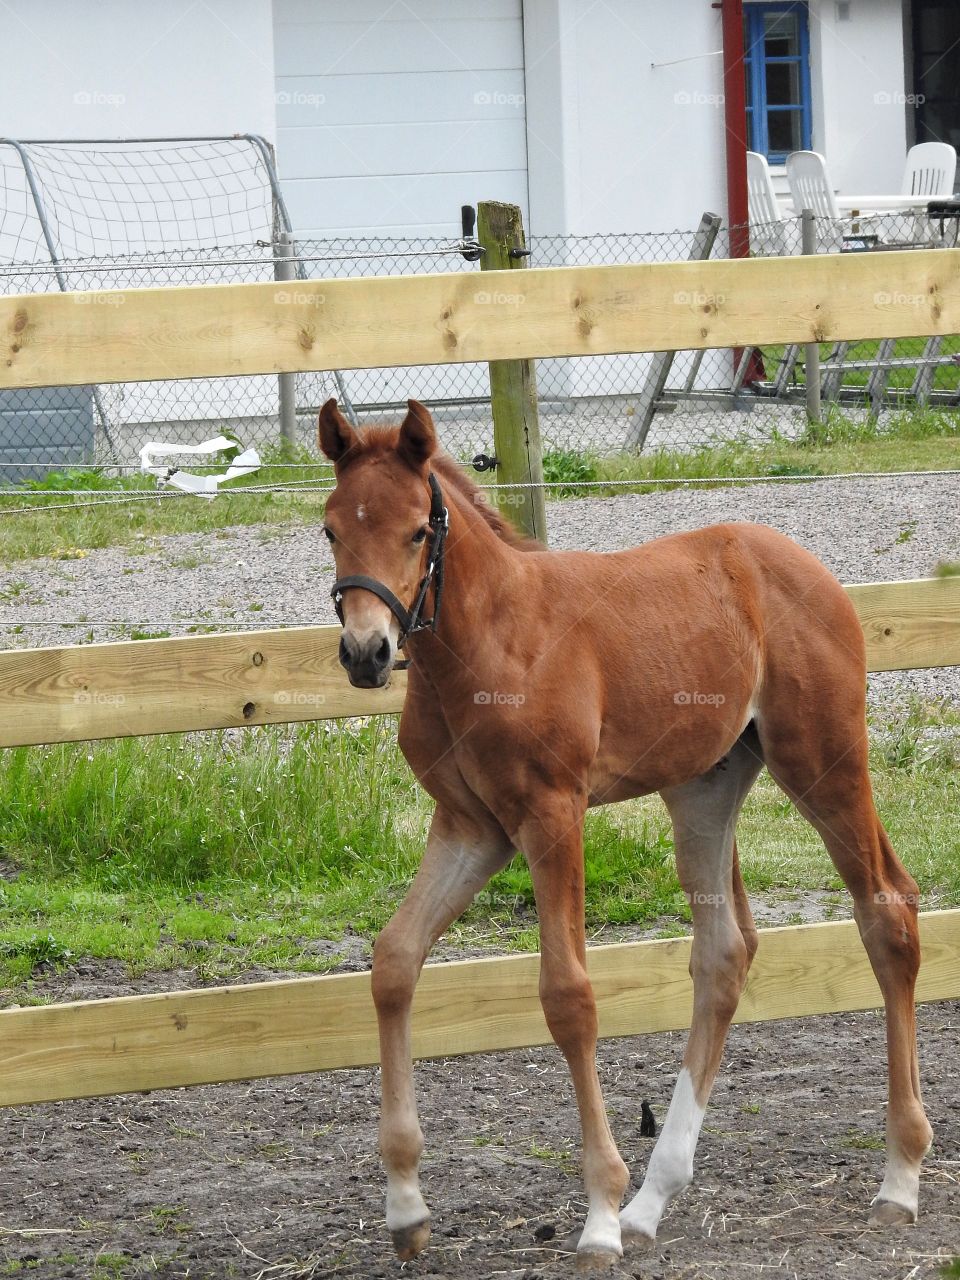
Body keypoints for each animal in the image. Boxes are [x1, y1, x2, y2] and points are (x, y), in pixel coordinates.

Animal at [321, 399, 931, 1269]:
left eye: (414, 532)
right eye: (332, 527)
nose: (367, 653)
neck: (488, 642)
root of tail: (802, 564)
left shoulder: (552, 813)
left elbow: (568, 995)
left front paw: (600, 1215)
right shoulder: (472, 827)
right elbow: (394, 961)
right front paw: (406, 1205)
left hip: (823, 761)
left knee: (887, 910)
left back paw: (898, 1180)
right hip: (704, 788)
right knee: (725, 953)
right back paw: (655, 1199)